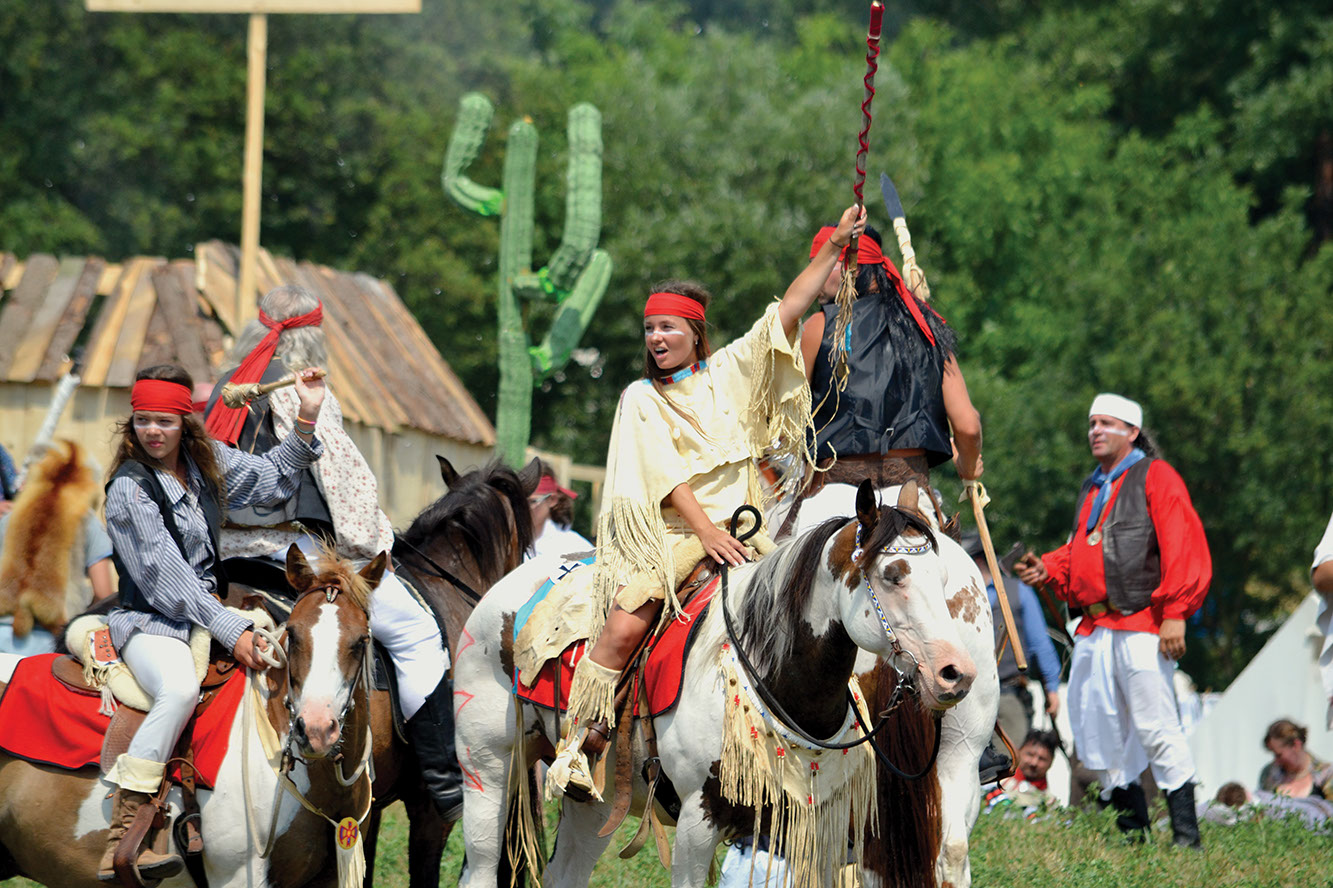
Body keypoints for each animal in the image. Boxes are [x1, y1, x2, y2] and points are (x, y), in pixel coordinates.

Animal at [454, 481, 979, 888]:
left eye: (944, 579)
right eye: (893, 575)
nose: (956, 673)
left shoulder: (818, 832)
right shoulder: (698, 819)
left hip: (590, 800)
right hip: (487, 769)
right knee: (480, 865)